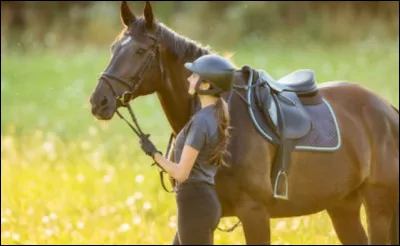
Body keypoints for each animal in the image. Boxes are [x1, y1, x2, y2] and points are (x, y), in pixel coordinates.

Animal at [89, 1, 398, 244]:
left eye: (141, 51)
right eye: (114, 48)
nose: (98, 101)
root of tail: (387, 110)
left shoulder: (254, 213)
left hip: (378, 206)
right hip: (343, 207)